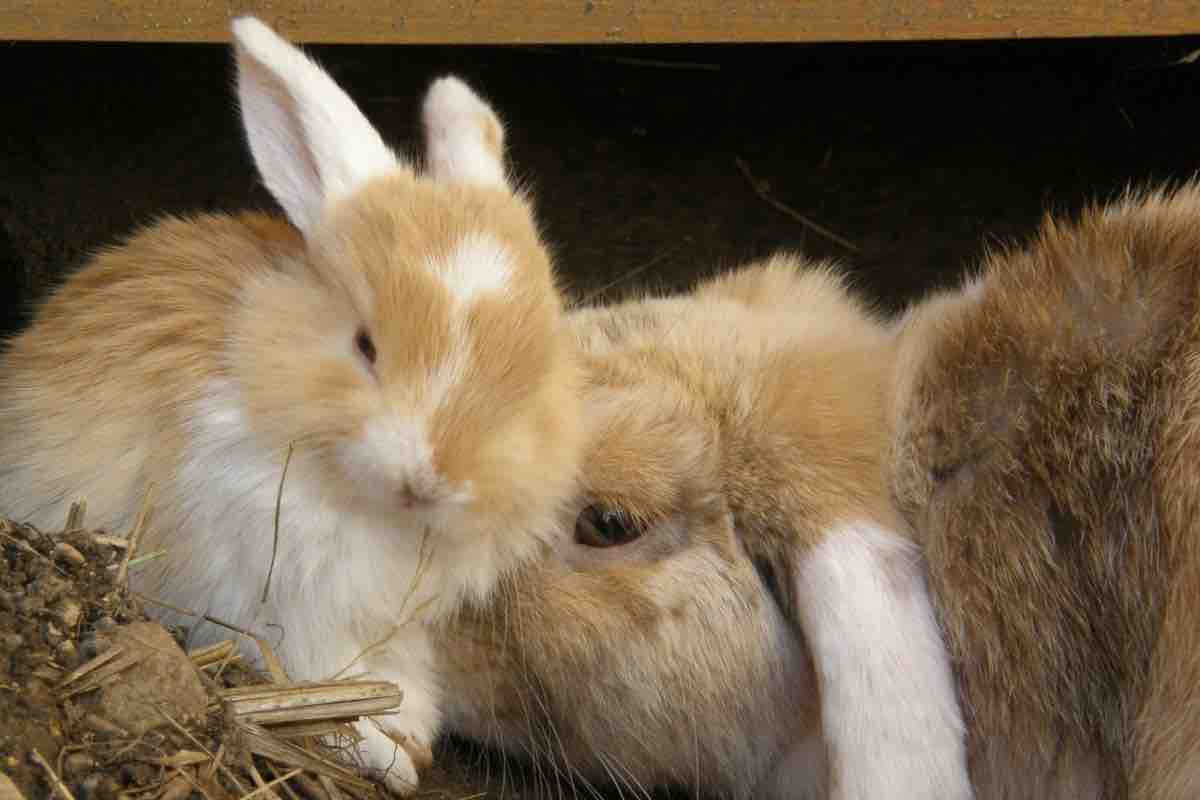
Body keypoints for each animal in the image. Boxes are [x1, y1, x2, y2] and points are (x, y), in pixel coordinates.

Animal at [0, 17, 581, 796]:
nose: (433, 478)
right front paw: (389, 756)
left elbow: (399, 674)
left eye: (532, 368)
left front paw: (413, 730)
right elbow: (322, 685)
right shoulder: (279, 606)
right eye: (365, 345)